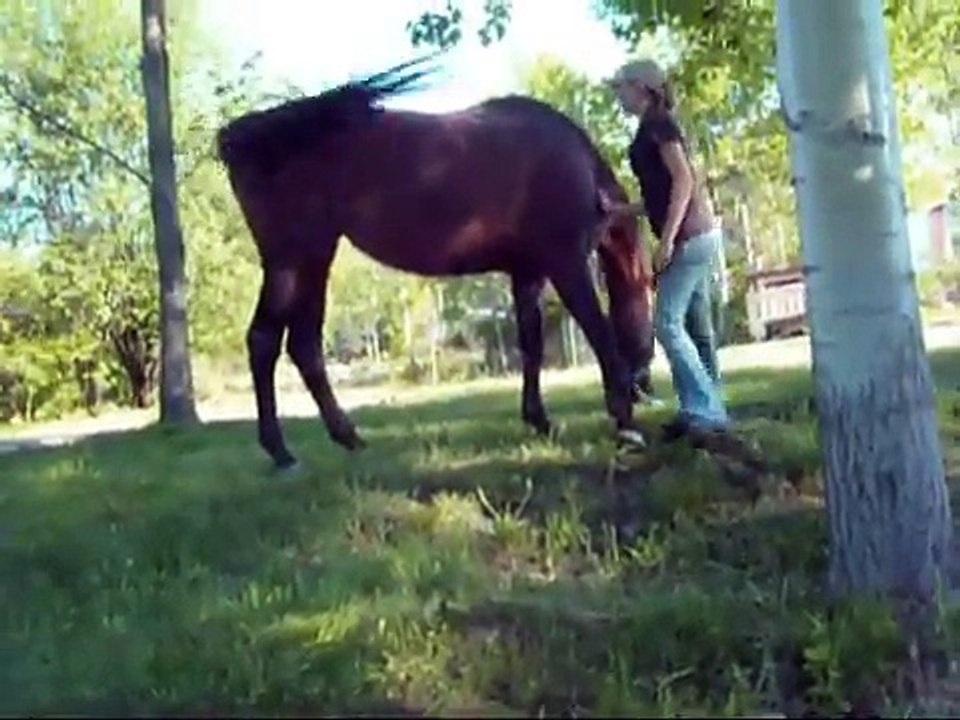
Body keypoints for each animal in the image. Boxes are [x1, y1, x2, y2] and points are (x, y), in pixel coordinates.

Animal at [216, 55, 655, 470]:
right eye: (649, 291)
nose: (645, 383)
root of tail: (246, 135)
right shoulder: (566, 264)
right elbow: (599, 332)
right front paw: (625, 424)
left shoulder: (527, 273)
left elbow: (531, 345)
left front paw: (540, 420)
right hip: (291, 258)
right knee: (264, 341)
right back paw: (281, 452)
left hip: (312, 259)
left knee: (302, 345)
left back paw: (346, 437)